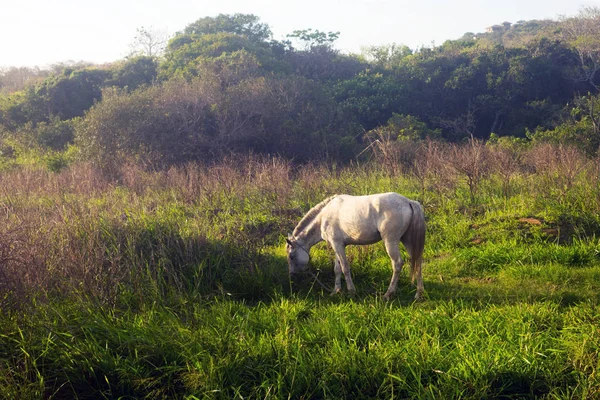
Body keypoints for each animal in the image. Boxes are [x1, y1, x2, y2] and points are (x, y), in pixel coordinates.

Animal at [288, 191, 424, 300]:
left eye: (291, 256)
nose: (292, 275)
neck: (323, 217)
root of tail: (408, 202)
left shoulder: (337, 245)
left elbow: (345, 267)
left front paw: (351, 291)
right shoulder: (338, 245)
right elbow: (337, 269)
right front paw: (335, 291)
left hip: (391, 242)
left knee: (397, 264)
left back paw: (388, 294)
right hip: (407, 241)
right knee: (417, 261)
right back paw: (418, 294)